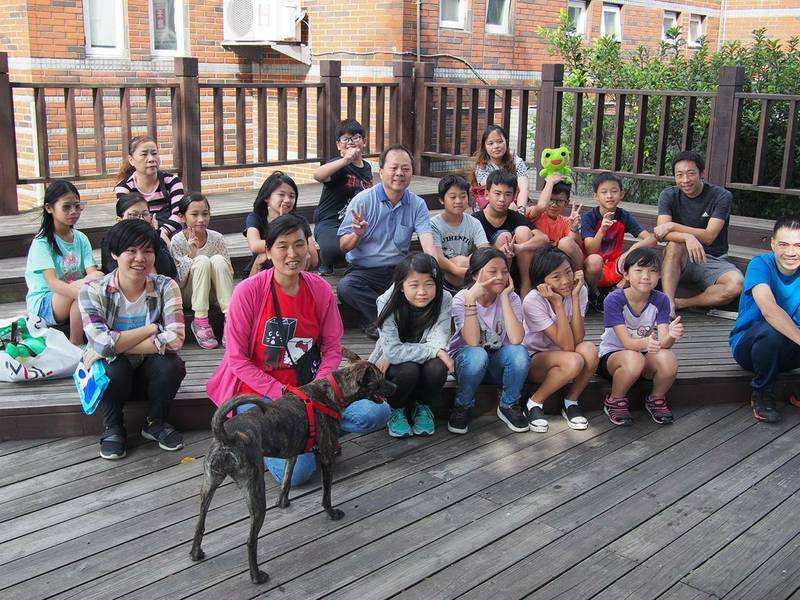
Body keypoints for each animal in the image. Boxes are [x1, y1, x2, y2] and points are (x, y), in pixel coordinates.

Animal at [188, 350, 394, 584]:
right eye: (379, 379)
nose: (395, 387)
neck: (333, 391)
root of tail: (225, 437)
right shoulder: (326, 457)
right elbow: (326, 494)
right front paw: (331, 513)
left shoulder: (292, 452)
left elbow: (286, 479)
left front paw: (283, 502)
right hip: (254, 489)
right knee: (250, 541)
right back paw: (256, 576)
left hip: (209, 484)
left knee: (200, 523)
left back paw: (195, 552)